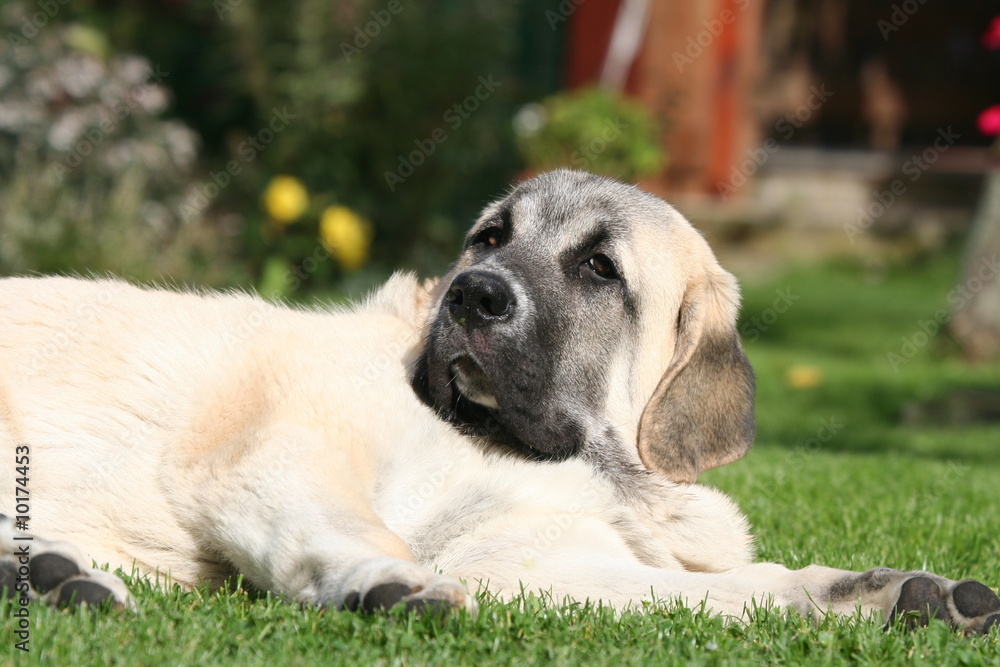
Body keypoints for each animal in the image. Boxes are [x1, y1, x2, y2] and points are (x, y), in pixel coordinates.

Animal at [0, 168, 996, 632]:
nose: (473, 294)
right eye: (489, 237)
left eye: (599, 268)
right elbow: (339, 524)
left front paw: (895, 594)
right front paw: (389, 581)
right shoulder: (279, 455)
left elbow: (739, 588)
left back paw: (51, 579)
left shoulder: (531, 557)